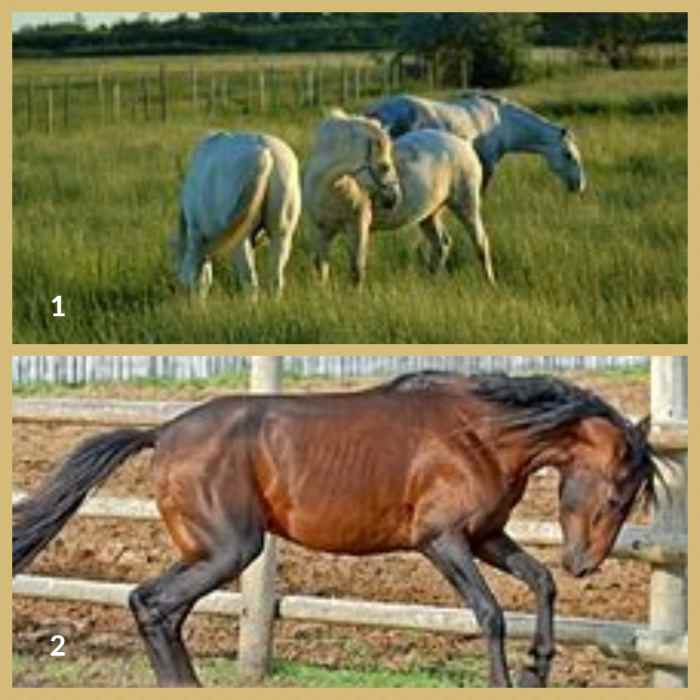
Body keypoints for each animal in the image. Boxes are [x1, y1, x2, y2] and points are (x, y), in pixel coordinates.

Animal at [13, 370, 662, 688]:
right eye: (617, 494)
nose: (585, 564)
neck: (481, 434)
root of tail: (163, 432)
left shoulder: (485, 537)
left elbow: (539, 582)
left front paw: (539, 666)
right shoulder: (443, 541)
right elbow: (490, 612)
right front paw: (510, 679)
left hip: (207, 550)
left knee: (151, 604)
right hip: (230, 550)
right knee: (155, 605)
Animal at [172, 131, 301, 300]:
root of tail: (266, 155)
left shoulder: (196, 232)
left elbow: (201, 276)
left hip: (240, 238)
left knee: (250, 282)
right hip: (282, 233)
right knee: (276, 279)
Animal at [307, 128, 495, 286]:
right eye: (384, 166)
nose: (394, 198)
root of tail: (464, 143)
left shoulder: (357, 227)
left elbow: (356, 268)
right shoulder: (321, 230)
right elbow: (320, 266)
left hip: (466, 205)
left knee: (481, 243)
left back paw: (489, 283)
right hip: (429, 214)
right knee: (441, 244)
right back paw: (431, 284)